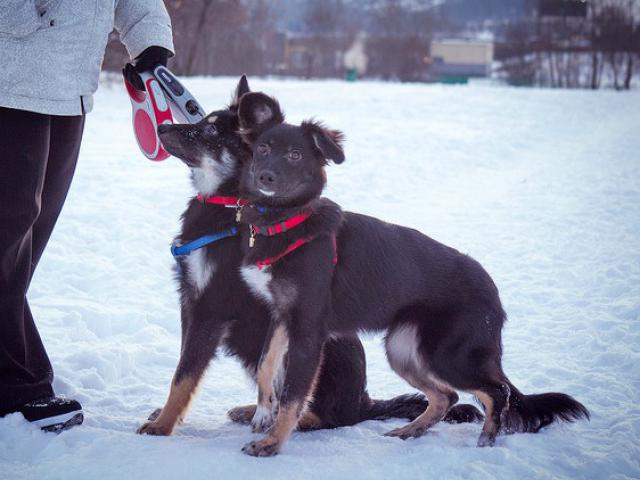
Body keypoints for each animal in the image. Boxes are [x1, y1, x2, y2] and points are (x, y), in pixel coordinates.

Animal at [138, 78, 482, 438]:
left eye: (211, 131)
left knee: (324, 413)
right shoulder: (190, 302)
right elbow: (183, 367)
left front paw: (162, 425)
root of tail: (363, 403)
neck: (228, 202)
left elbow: (184, 375)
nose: (162, 127)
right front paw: (166, 416)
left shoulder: (211, 308)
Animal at [235, 91, 592, 458]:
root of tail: (492, 290)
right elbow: (266, 365)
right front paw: (262, 412)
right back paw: (411, 430)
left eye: (295, 155)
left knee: (496, 391)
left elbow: (293, 395)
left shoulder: (308, 330)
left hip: (447, 356)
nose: (266, 177)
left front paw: (272, 443)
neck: (287, 221)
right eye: (263, 148)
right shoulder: (282, 316)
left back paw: (486, 439)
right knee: (447, 396)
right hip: (403, 349)